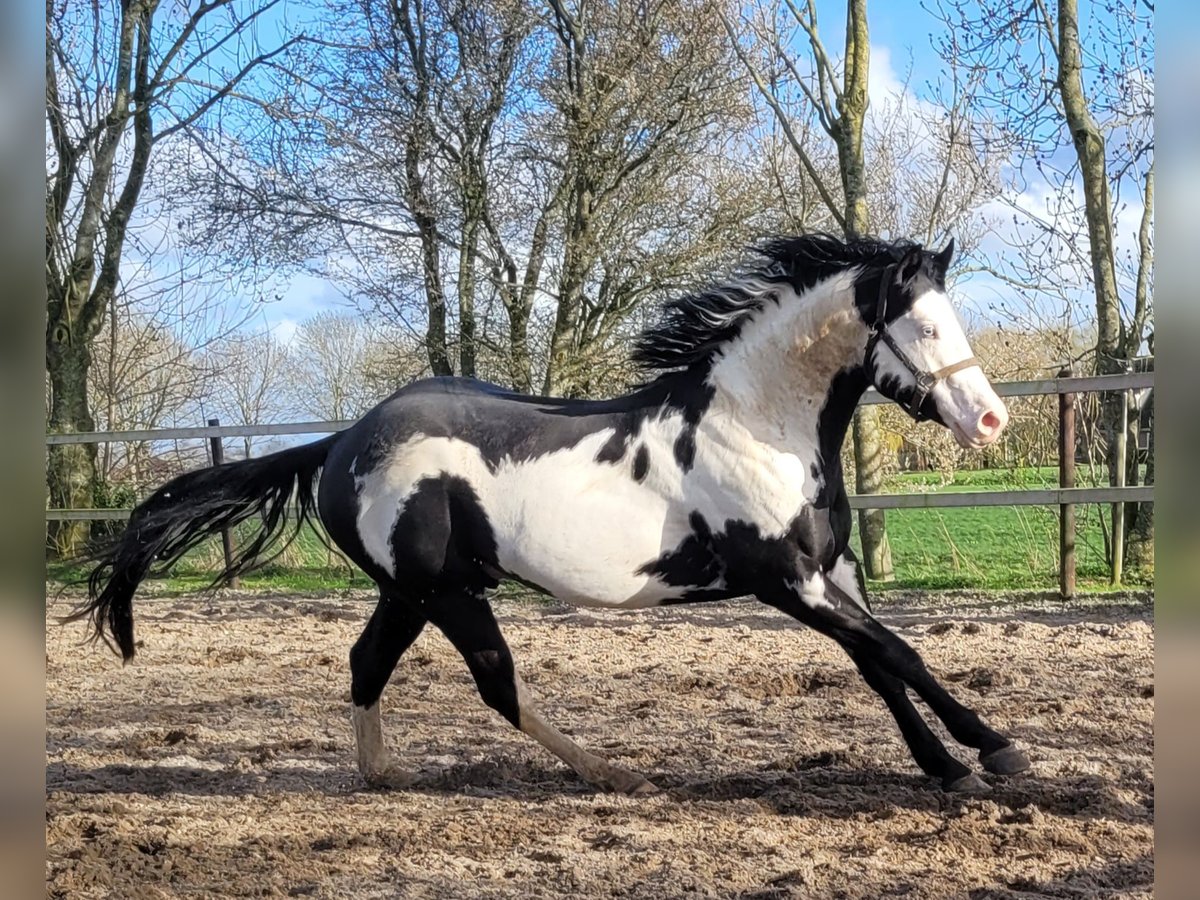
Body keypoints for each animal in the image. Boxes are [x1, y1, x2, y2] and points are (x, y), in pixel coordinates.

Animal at [72, 232, 1032, 796]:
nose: (990, 420)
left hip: (415, 591)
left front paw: (950, 767)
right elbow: (897, 653)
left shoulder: (830, 571)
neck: (756, 427)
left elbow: (880, 664)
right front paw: (992, 749)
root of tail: (346, 439)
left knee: (371, 662)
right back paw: (611, 773)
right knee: (490, 680)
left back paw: (391, 774)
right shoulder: (782, 579)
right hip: (443, 591)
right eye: (927, 328)